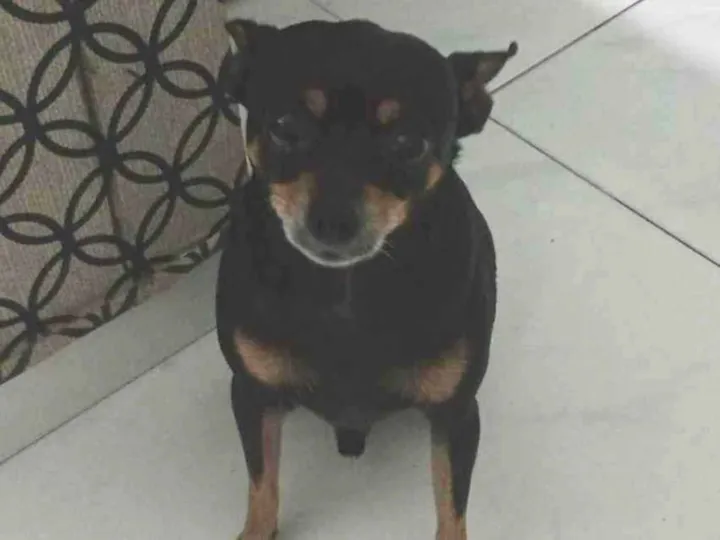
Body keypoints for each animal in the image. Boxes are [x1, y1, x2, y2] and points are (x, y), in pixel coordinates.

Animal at [215, 17, 517, 539]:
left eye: (409, 145)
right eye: (285, 128)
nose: (332, 222)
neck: (346, 290)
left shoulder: (458, 415)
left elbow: (451, 509)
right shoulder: (252, 396)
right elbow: (262, 486)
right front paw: (257, 529)